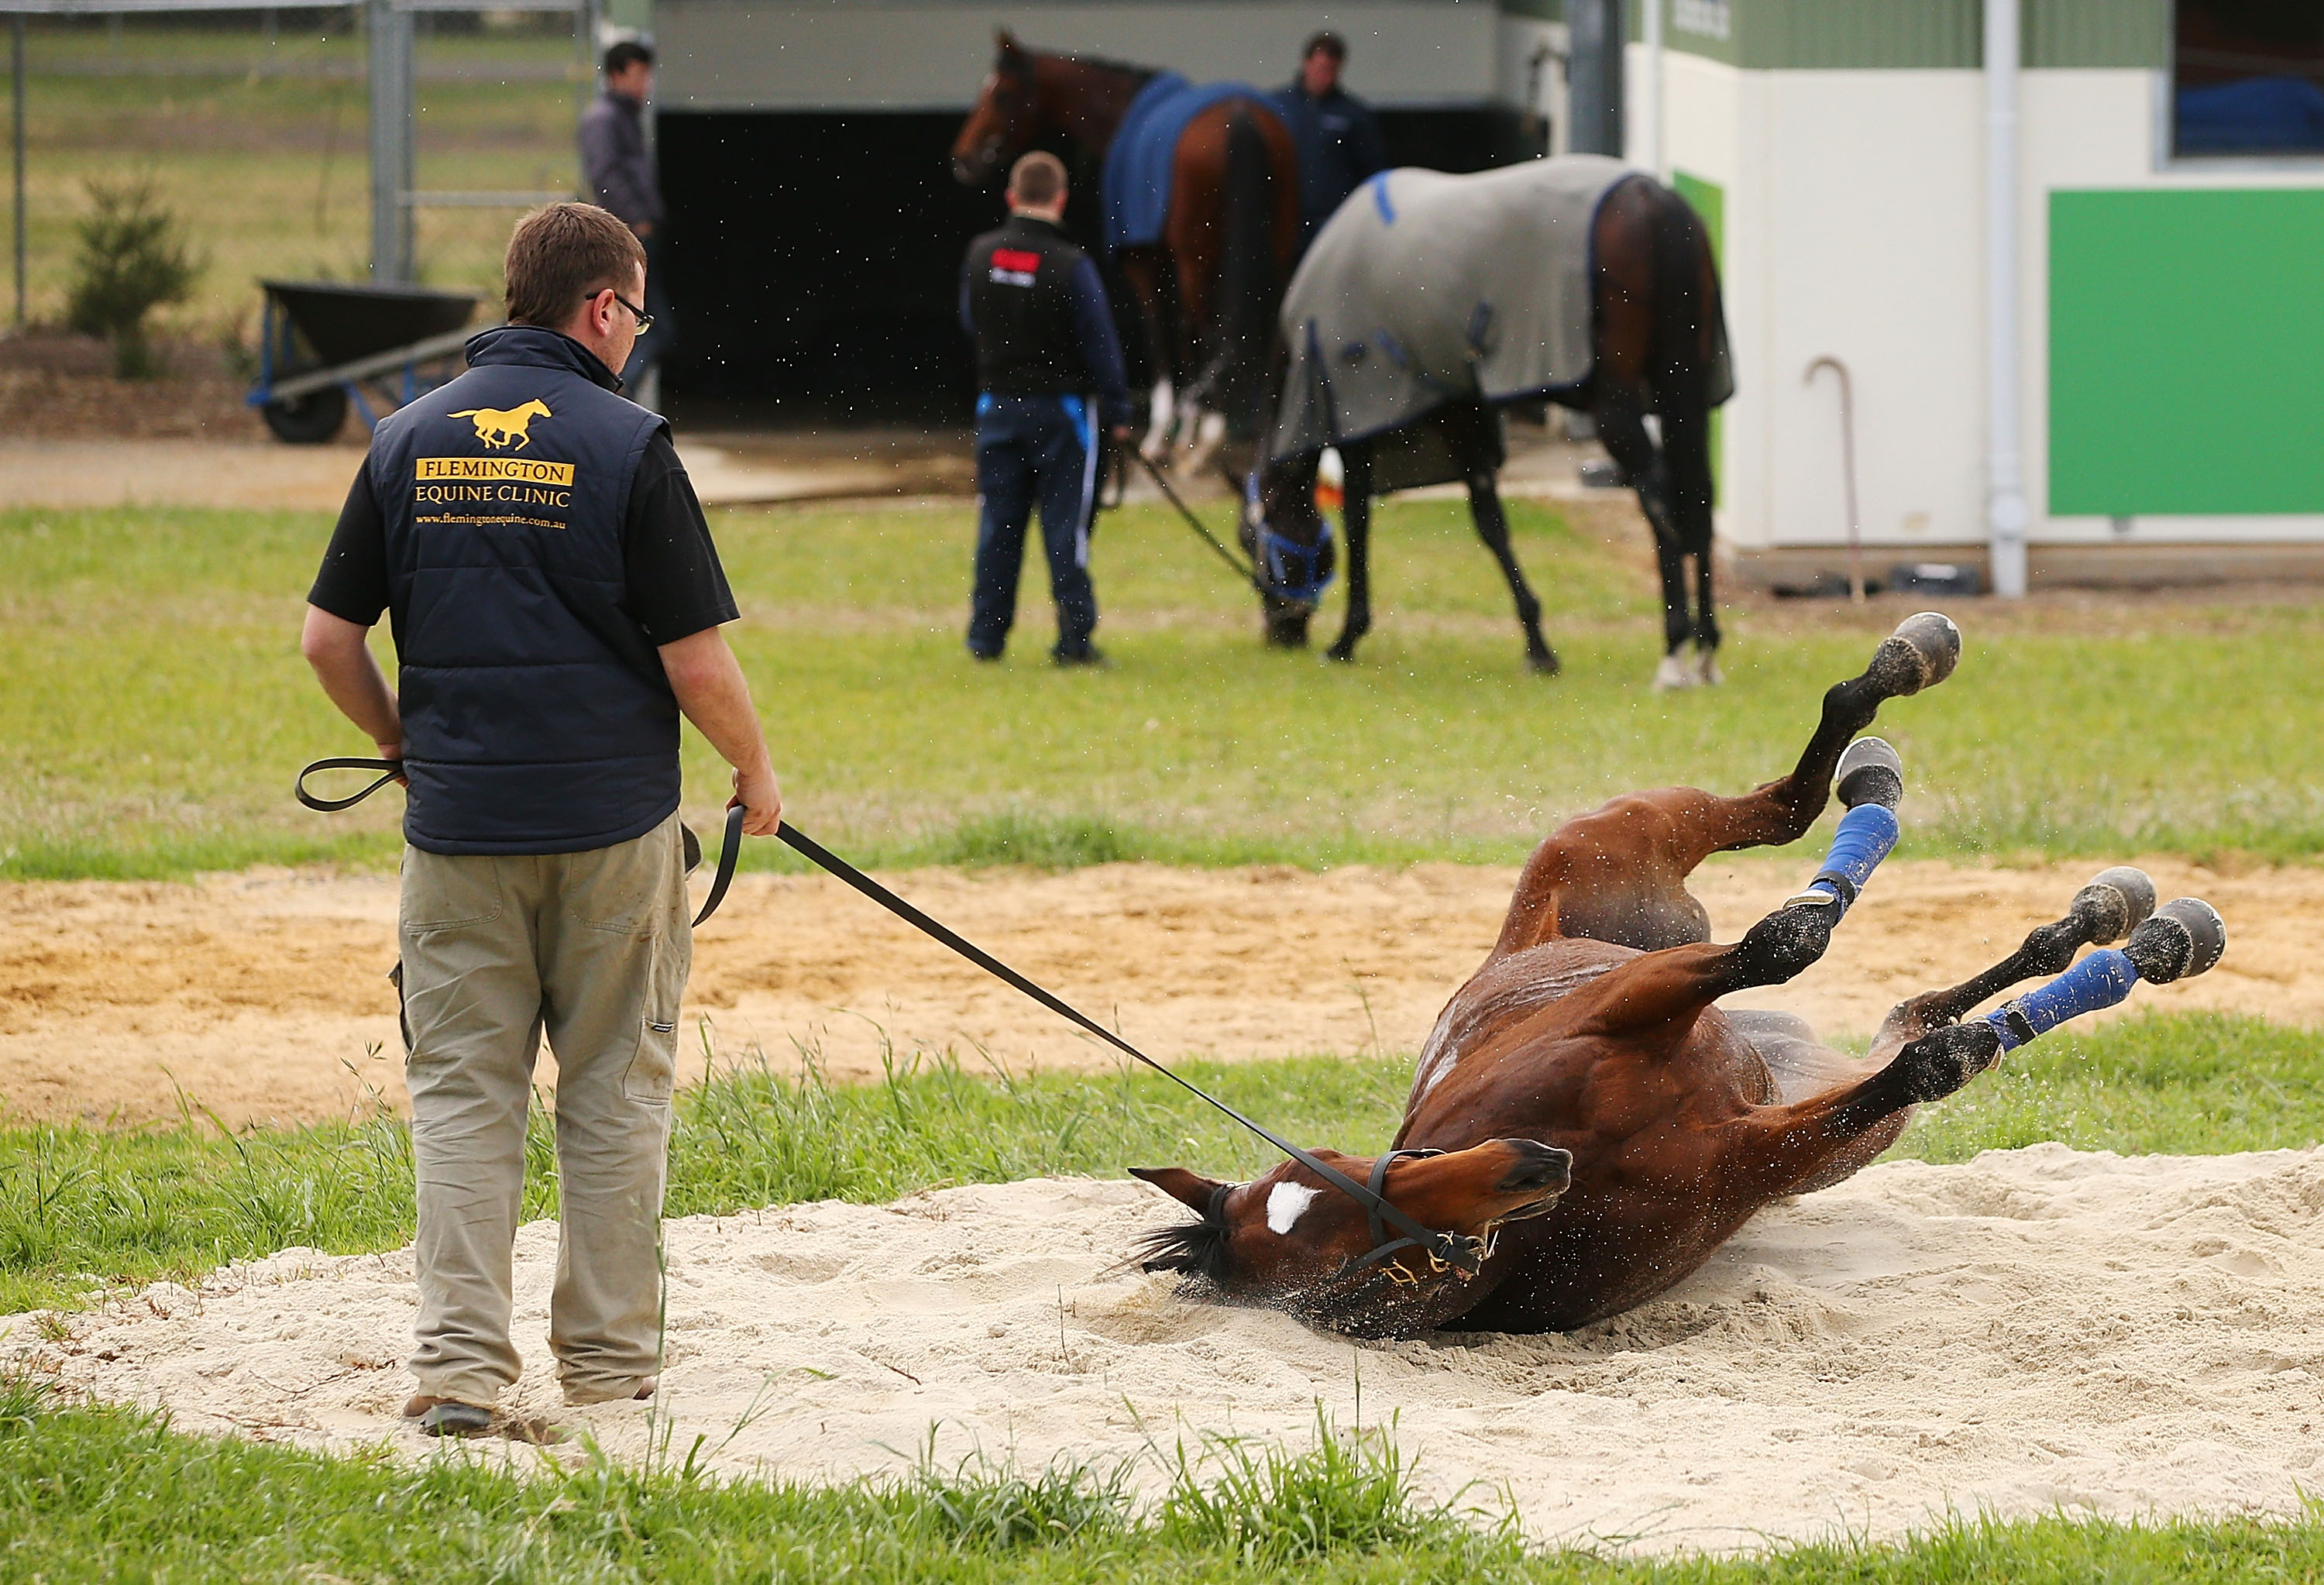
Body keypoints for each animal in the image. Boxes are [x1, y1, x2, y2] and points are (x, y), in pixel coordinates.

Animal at [948, 32, 1311, 469]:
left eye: (1001, 93)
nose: (962, 158)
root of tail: (1243, 115)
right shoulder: (1168, 257)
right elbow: (1183, 335)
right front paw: (1184, 431)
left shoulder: (1143, 260)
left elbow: (1160, 332)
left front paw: (1165, 436)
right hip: (1275, 247)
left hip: (1199, 260)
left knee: (1214, 330)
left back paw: (1211, 438)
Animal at [1134, 609, 2222, 1329]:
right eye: (1371, 1248)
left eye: (1350, 1170)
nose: (1530, 1163)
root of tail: (1516, 941)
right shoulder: (1762, 1153)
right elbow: (1930, 1057)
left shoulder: (1631, 999)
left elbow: (1785, 943)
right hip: (1824, 1113)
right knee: (1912, 1019)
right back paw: (2136, 933)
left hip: (1622, 848)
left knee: (1788, 807)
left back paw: (1899, 704)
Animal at [1255, 154, 1729, 683]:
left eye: (1255, 541)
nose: (1280, 633)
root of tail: (1650, 197)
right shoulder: (1461, 413)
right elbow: (1491, 524)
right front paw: (1538, 645)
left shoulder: (1359, 419)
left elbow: (1358, 519)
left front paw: (1346, 638)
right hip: (1682, 388)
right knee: (1699, 495)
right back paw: (1707, 648)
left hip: (1617, 406)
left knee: (1658, 495)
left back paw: (1674, 649)